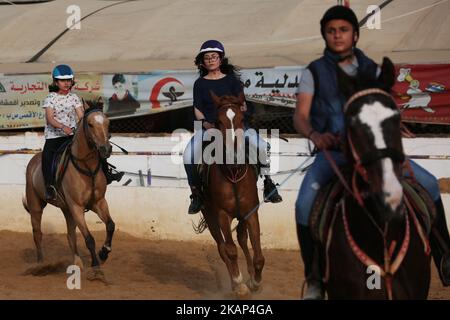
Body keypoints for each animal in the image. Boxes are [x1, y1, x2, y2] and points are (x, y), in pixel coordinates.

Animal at [23, 100, 115, 280]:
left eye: (108, 123)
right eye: (90, 124)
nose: (105, 149)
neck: (86, 167)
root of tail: (34, 160)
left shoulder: (99, 203)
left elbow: (110, 225)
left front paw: (104, 252)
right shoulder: (77, 207)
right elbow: (89, 239)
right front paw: (96, 267)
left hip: (67, 209)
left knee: (70, 235)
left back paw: (77, 263)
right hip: (37, 206)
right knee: (37, 234)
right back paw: (41, 264)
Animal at [197, 92, 264, 298]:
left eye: (242, 118)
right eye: (219, 121)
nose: (234, 157)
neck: (233, 172)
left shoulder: (251, 212)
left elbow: (257, 252)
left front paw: (255, 282)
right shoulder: (222, 215)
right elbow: (230, 250)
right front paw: (239, 283)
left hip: (240, 216)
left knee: (242, 239)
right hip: (209, 215)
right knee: (222, 248)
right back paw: (236, 282)